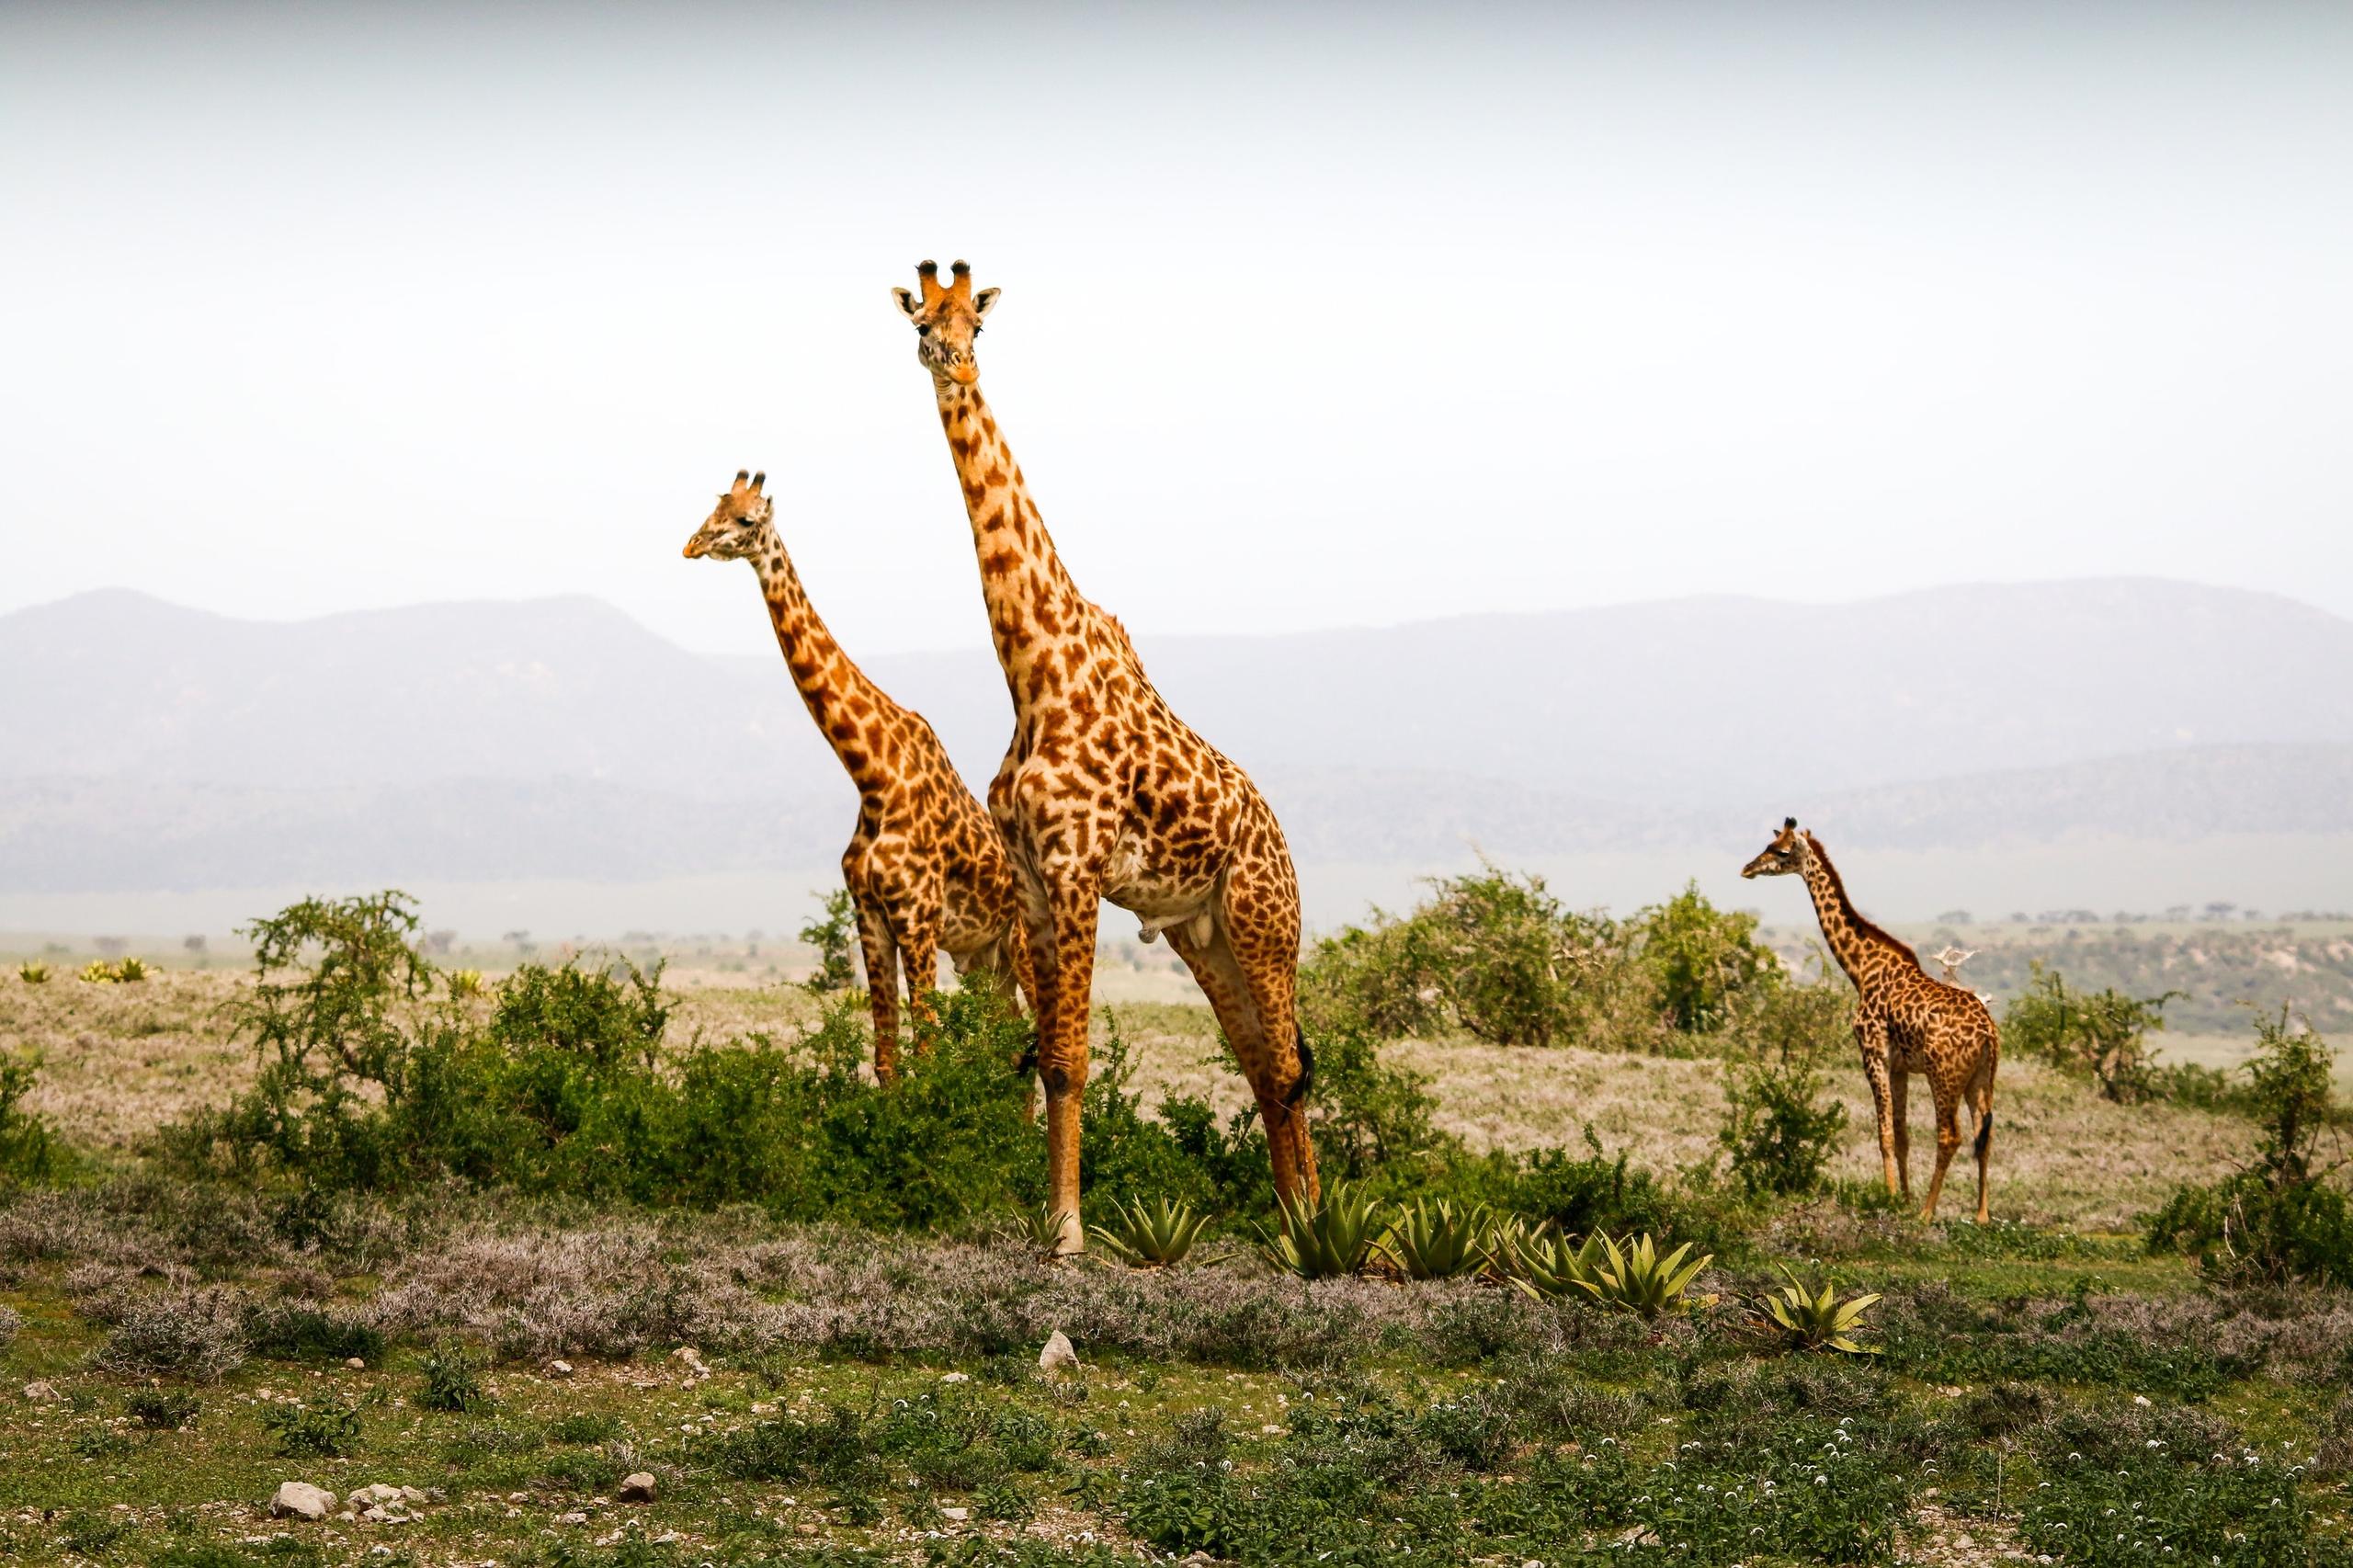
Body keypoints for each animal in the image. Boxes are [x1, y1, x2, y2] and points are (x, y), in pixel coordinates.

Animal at [683, 468, 1034, 1085]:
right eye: (713, 506)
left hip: (1020, 943)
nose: (692, 545)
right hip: (982, 955)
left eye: (746, 519)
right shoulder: (870, 918)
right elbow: (887, 1057)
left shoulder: (916, 920)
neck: (872, 775)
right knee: (1011, 1040)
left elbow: (928, 1051)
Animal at [889, 260, 1319, 1253]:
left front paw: (1071, 1235)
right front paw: (1052, 1222)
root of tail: (1282, 842)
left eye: (978, 324)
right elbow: (1049, 1060)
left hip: (1264, 923)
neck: (1032, 665)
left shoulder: (1078, 868)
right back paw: (1288, 1226)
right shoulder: (1035, 883)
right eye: (921, 319)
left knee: (1288, 1065)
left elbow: (1074, 1060)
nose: (950, 359)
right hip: (1206, 935)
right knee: (1259, 1064)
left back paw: (1321, 1232)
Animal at [1743, 818, 1998, 1222]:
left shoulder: (1873, 1053)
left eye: (1781, 851)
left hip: (1944, 1075)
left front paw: (1891, 1198)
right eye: (1768, 844)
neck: (1861, 969)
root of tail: (1989, 1032)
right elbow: (1902, 1134)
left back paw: (1927, 1213)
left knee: (1950, 1135)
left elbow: (1884, 1135)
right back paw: (1981, 1215)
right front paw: (1903, 1198)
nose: (1748, 868)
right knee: (1983, 1135)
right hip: (1980, 1079)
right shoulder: (1899, 1066)